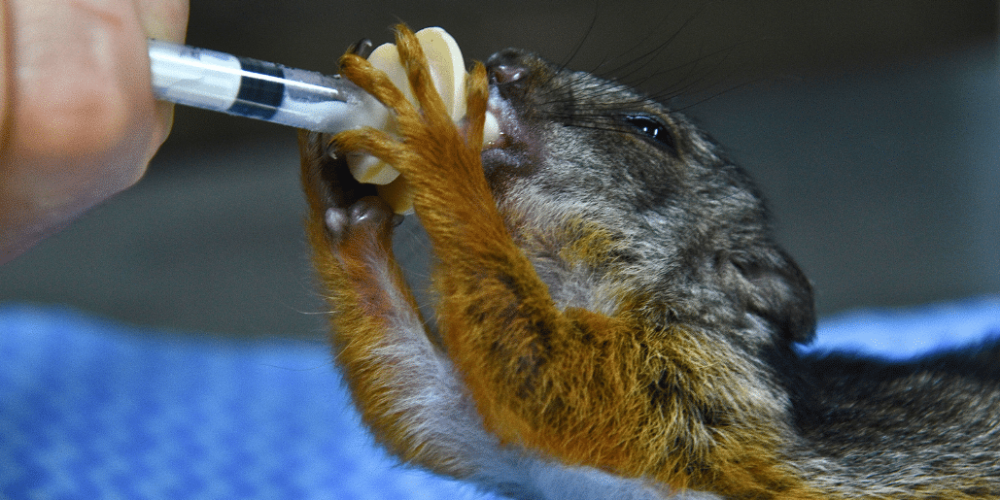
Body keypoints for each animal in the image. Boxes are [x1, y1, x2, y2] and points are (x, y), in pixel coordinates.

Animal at [298, 25, 1000, 498]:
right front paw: (341, 192)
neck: (574, 282)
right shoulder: (518, 455)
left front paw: (436, 139)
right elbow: (423, 404)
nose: (505, 64)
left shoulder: (695, 386)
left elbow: (545, 371)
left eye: (650, 130)